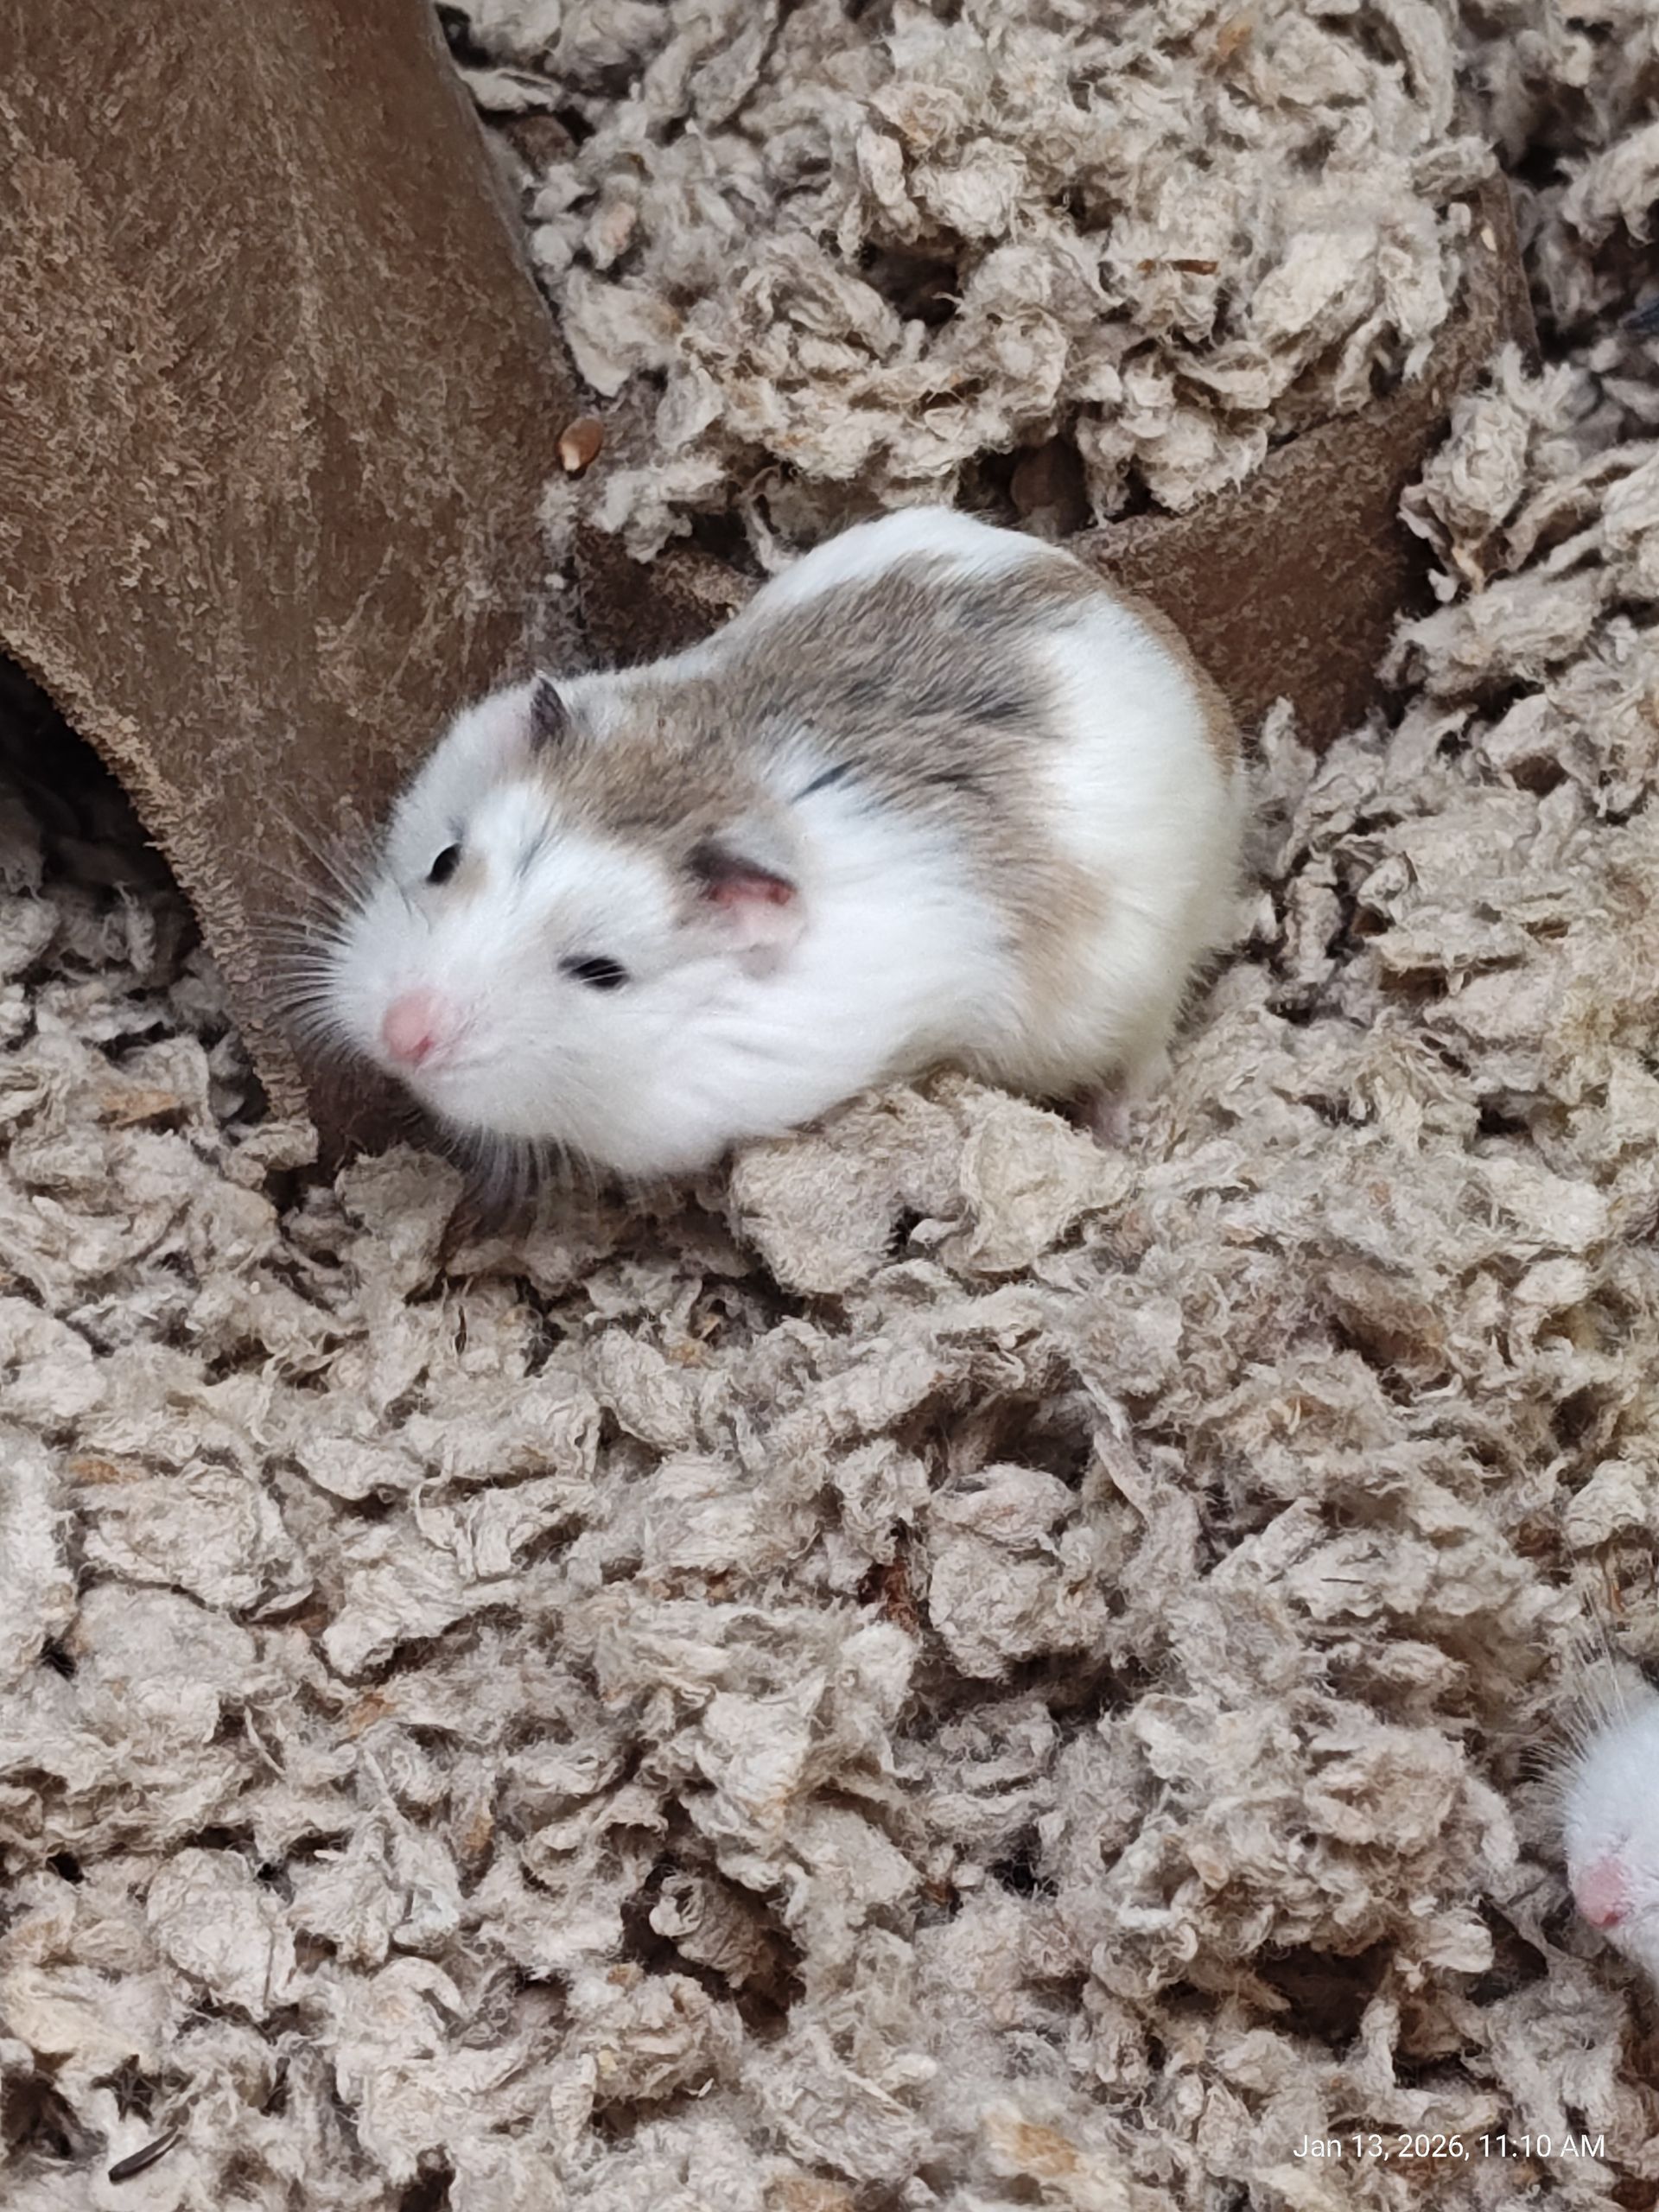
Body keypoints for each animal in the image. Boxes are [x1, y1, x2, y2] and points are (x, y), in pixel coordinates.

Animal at [315, 507, 1245, 1180]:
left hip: (1139, 979)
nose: (401, 1036)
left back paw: (1116, 1130)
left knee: (1145, 1048)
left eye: (601, 972)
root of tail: (1186, 668)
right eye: (443, 860)